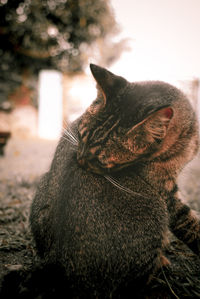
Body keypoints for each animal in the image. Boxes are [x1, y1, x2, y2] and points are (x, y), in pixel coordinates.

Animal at [30, 64, 200, 298]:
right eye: (81, 137)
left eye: (100, 159)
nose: (79, 160)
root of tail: (55, 267)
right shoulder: (167, 195)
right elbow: (190, 224)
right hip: (155, 213)